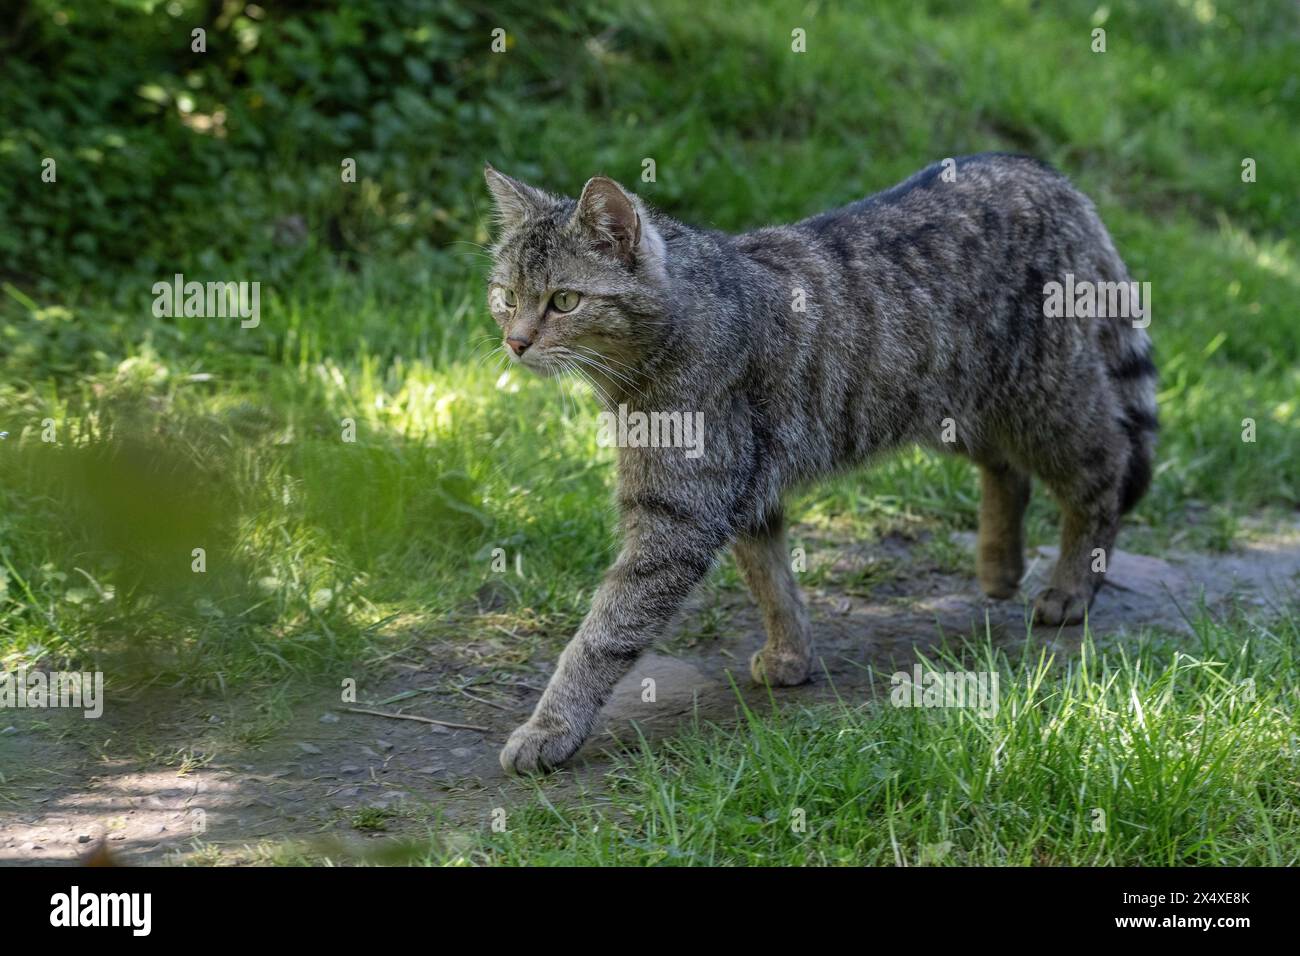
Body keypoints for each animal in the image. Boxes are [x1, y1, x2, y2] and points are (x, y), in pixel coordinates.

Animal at [486, 153, 1159, 775]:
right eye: (506, 297)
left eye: (564, 300)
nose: (515, 342)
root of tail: (1038, 170)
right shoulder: (746, 493)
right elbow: (771, 580)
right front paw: (792, 655)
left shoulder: (680, 516)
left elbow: (602, 635)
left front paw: (550, 728)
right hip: (949, 408)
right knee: (1007, 471)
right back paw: (999, 566)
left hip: (1045, 402)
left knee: (1107, 468)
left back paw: (1073, 586)